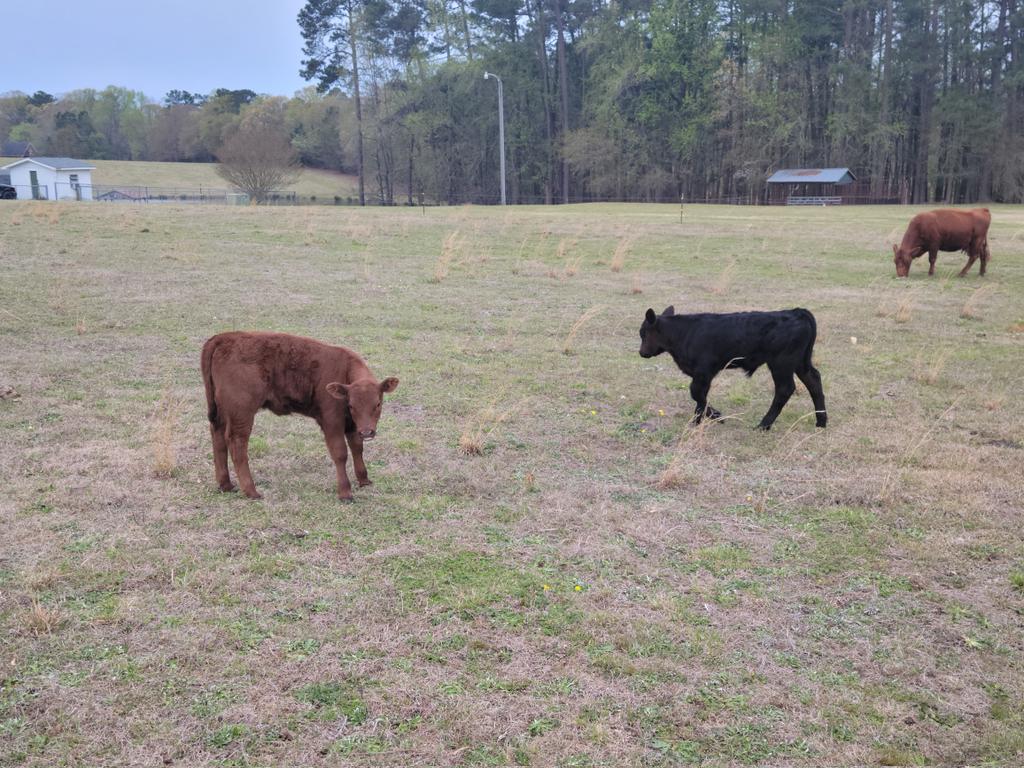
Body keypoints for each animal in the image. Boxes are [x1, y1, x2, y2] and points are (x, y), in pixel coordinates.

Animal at [201, 331, 399, 501]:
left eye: (378, 404)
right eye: (351, 405)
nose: (367, 432)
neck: (344, 370)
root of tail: (223, 337)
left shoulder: (352, 424)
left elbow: (357, 448)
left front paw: (364, 480)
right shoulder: (332, 421)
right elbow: (340, 453)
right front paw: (345, 492)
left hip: (222, 411)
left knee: (218, 438)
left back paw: (226, 485)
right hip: (241, 412)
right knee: (237, 443)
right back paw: (251, 491)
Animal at [638, 306, 827, 431]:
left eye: (643, 333)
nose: (641, 353)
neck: (683, 333)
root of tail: (796, 311)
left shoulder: (704, 371)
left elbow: (697, 394)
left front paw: (713, 417)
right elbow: (699, 397)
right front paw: (699, 420)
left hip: (781, 364)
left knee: (785, 389)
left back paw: (763, 425)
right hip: (800, 363)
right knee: (813, 381)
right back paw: (821, 422)